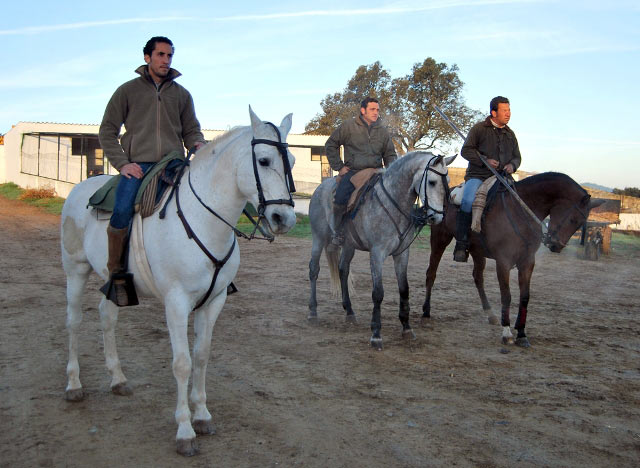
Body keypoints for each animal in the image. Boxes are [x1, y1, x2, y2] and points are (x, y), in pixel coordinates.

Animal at [60, 108, 298, 456]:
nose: (285, 219)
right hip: (75, 270)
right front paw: (185, 430)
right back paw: (74, 384)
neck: (205, 220)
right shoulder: (176, 303)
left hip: (114, 282)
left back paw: (117, 379)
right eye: (264, 160)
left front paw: (202, 415)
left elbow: (201, 355)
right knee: (74, 322)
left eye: (291, 161)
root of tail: (81, 189)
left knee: (107, 318)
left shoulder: (214, 301)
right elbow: (182, 363)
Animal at [308, 152, 456, 350]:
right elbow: (378, 293)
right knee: (314, 270)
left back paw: (349, 312)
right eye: (432, 182)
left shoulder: (402, 254)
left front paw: (406, 328)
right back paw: (312, 311)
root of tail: (320, 188)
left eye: (447, 181)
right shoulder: (377, 254)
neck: (394, 204)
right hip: (318, 239)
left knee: (343, 270)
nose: (437, 217)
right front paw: (376, 334)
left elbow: (404, 289)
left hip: (348, 245)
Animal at [422, 173, 604, 348]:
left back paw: (490, 314)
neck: (521, 212)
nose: (556, 246)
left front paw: (522, 333)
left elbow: (525, 297)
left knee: (478, 278)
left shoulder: (527, 262)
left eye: (580, 223)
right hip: (440, 239)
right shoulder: (504, 261)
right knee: (431, 273)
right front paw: (507, 333)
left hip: (477, 251)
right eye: (573, 219)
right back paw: (426, 311)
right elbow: (506, 296)